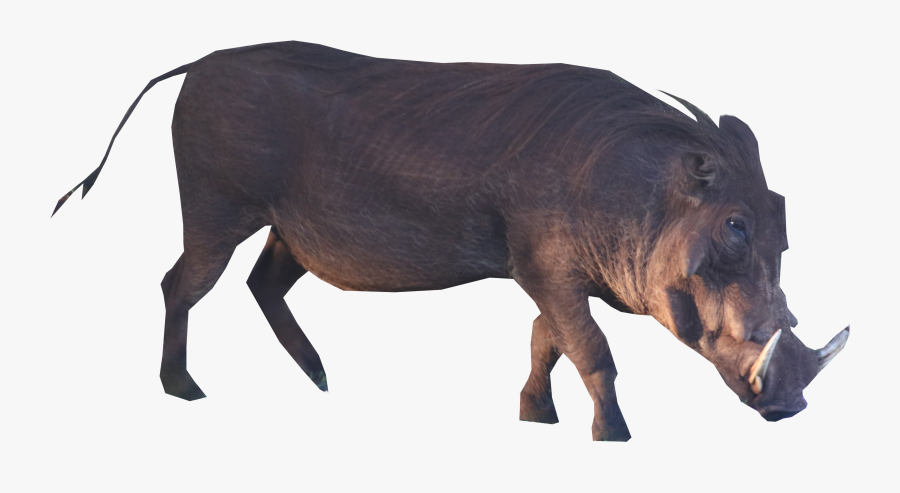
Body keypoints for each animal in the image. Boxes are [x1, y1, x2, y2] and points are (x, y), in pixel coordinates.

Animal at [52, 41, 848, 441]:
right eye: (736, 226)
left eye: (783, 218)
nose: (790, 408)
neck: (639, 191)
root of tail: (196, 64)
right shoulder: (548, 270)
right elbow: (590, 349)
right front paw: (614, 435)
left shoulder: (550, 276)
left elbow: (546, 341)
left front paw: (535, 418)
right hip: (217, 210)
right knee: (181, 285)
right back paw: (183, 389)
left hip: (290, 230)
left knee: (261, 285)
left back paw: (320, 379)